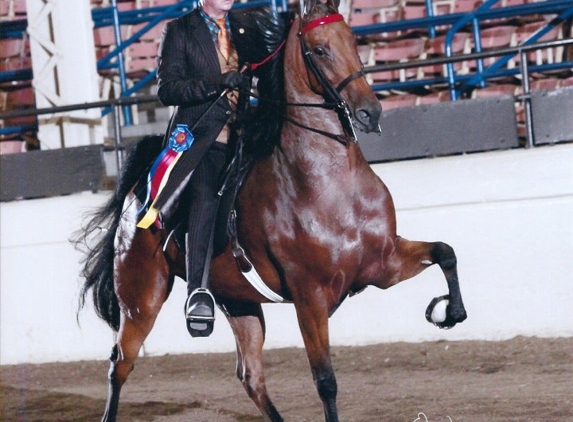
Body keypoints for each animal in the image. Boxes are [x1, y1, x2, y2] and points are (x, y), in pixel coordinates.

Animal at [77, 0, 464, 422]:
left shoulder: (383, 263)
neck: (330, 184)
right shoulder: (310, 296)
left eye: (353, 39)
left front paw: (447, 312)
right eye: (319, 49)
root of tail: (136, 197)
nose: (369, 113)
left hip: (238, 302)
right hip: (141, 302)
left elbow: (445, 252)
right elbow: (325, 381)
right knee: (119, 365)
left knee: (250, 376)